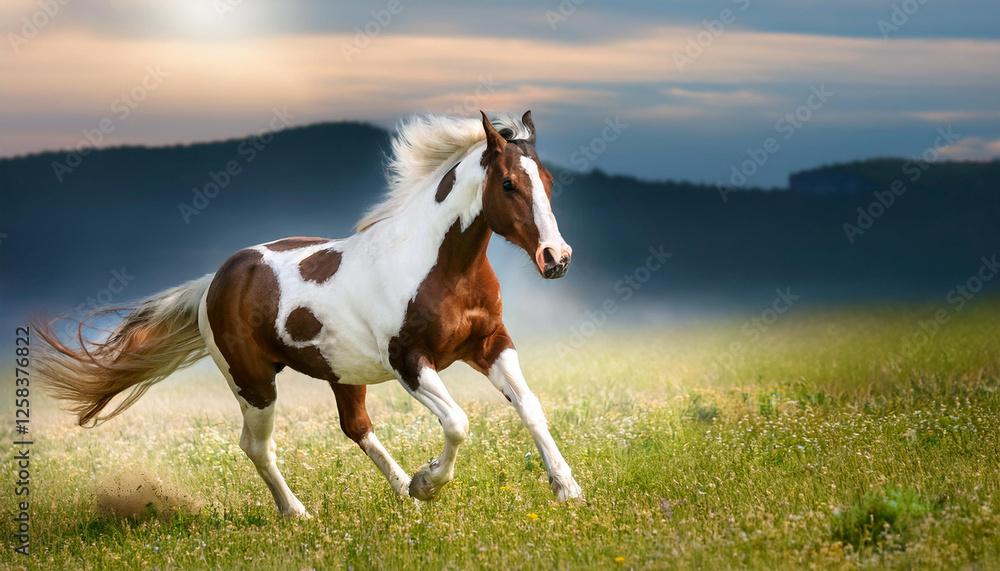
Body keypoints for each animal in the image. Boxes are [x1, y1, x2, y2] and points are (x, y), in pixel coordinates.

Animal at [34, 111, 584, 517]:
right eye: (508, 184)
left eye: (549, 180)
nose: (556, 258)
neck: (438, 264)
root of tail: (214, 281)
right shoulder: (410, 361)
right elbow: (458, 422)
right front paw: (430, 482)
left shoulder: (491, 344)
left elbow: (530, 407)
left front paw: (567, 490)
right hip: (253, 382)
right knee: (257, 446)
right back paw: (298, 511)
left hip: (342, 374)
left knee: (356, 428)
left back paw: (402, 492)